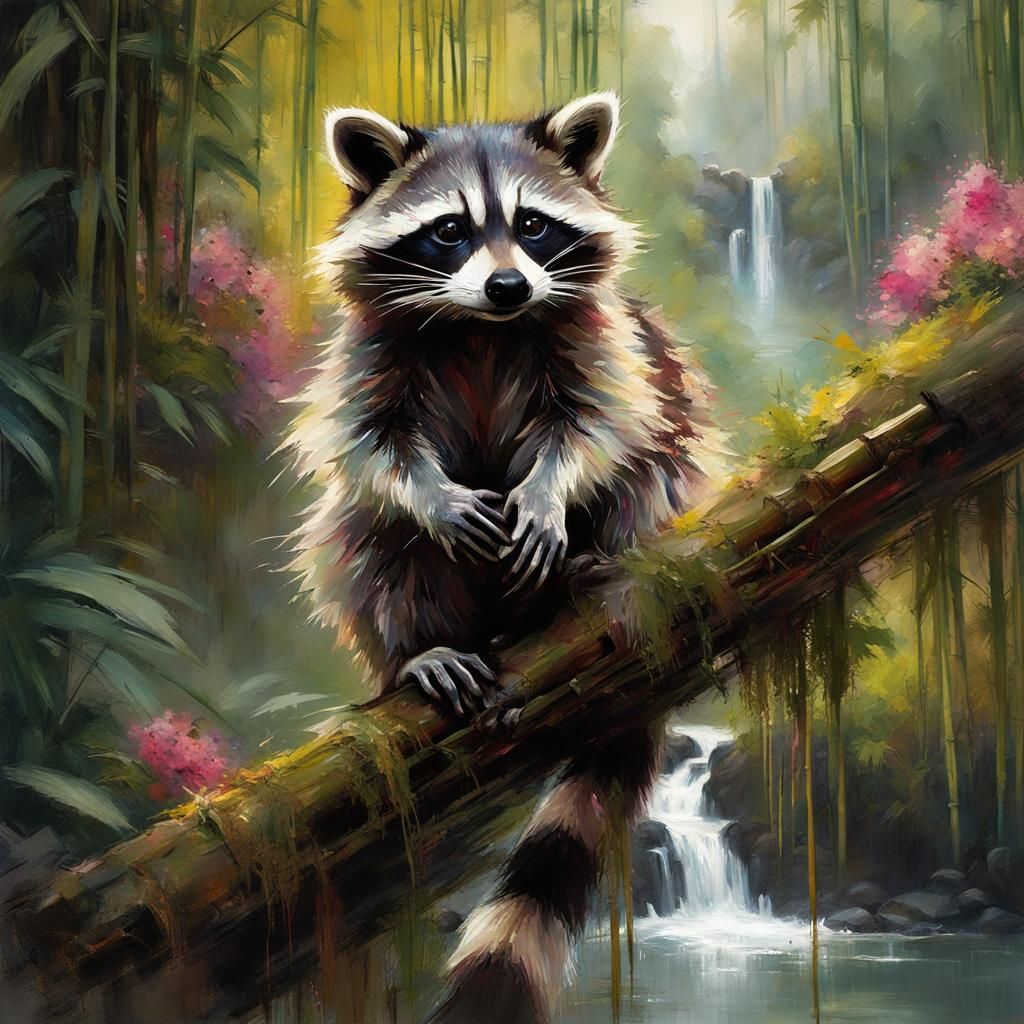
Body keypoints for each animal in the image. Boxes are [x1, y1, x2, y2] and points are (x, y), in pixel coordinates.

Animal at [287, 93, 714, 1022]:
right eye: (449, 231)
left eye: (533, 225)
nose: (509, 285)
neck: (482, 328)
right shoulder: (370, 357)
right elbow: (371, 450)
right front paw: (432, 498)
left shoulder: (603, 339)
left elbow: (602, 423)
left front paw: (550, 492)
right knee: (359, 538)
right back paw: (420, 648)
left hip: (668, 488)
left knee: (655, 462)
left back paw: (590, 572)